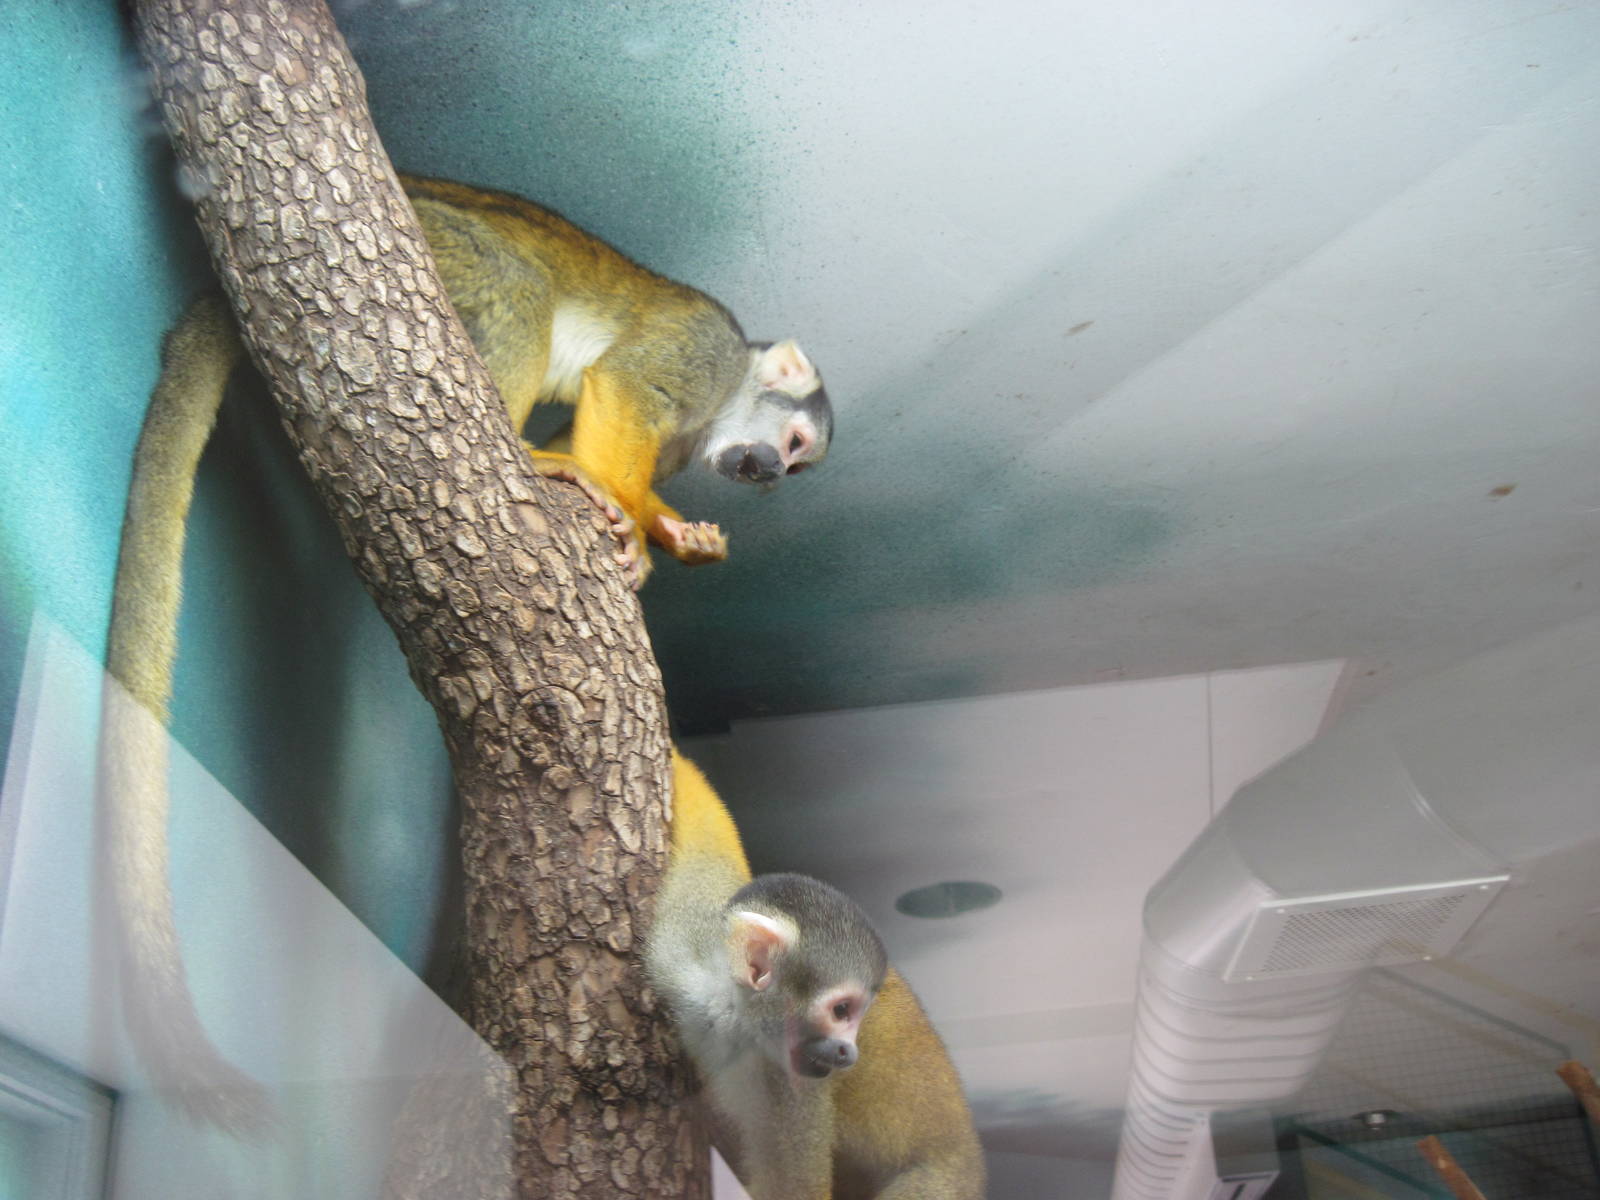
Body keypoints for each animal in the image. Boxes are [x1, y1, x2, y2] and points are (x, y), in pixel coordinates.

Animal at [99, 174, 833, 1128]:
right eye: (793, 446)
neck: (726, 398)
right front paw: (630, 514)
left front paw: (675, 534)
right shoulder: (702, 350)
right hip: (435, 244)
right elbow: (623, 385)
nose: (770, 474)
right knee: (514, 284)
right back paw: (525, 447)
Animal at [647, 753, 986, 1200]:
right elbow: (707, 842)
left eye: (856, 1015)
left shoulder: (791, 1085)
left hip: (943, 1182)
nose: (847, 1053)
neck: (731, 1019)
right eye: (841, 1010)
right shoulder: (682, 946)